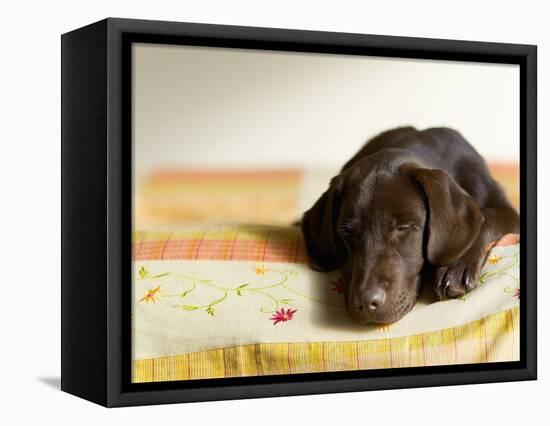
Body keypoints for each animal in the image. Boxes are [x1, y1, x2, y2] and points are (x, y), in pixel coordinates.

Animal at [304, 125, 520, 322]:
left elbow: (486, 218)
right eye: (347, 233)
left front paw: (456, 266)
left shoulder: (508, 212)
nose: (366, 303)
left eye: (405, 227)